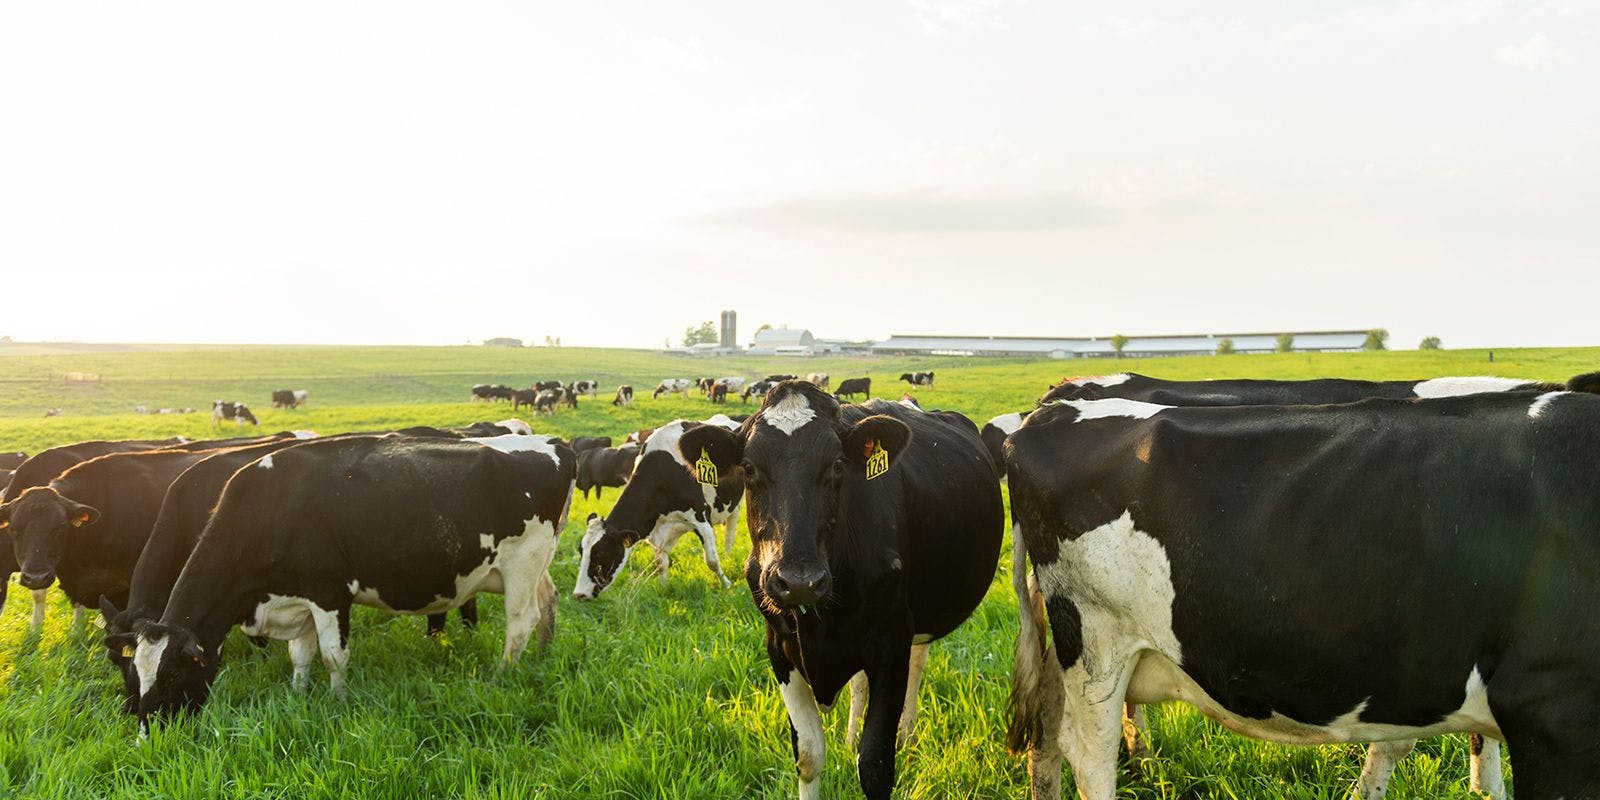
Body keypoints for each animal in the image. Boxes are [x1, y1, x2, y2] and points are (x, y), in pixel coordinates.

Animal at [114, 435, 576, 732]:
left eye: (172, 676)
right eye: (134, 675)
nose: (148, 737)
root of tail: (555, 444)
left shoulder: (329, 593)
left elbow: (333, 656)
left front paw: (338, 702)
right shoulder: (296, 598)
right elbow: (300, 656)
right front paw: (298, 695)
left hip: (521, 562)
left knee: (520, 622)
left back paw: (502, 675)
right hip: (536, 566)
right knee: (549, 604)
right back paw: (543, 658)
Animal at [572, 416, 745, 598]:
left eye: (601, 553)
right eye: (581, 551)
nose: (579, 594)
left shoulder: (701, 518)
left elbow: (712, 561)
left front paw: (727, 585)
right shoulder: (657, 528)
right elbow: (661, 563)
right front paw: (663, 588)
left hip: (738, 503)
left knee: (730, 535)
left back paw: (728, 557)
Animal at [675, 384, 998, 796]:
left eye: (838, 466)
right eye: (748, 468)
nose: (799, 582)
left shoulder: (892, 641)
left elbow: (875, 764)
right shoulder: (778, 647)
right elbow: (808, 756)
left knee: (918, 660)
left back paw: (906, 735)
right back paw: (851, 736)